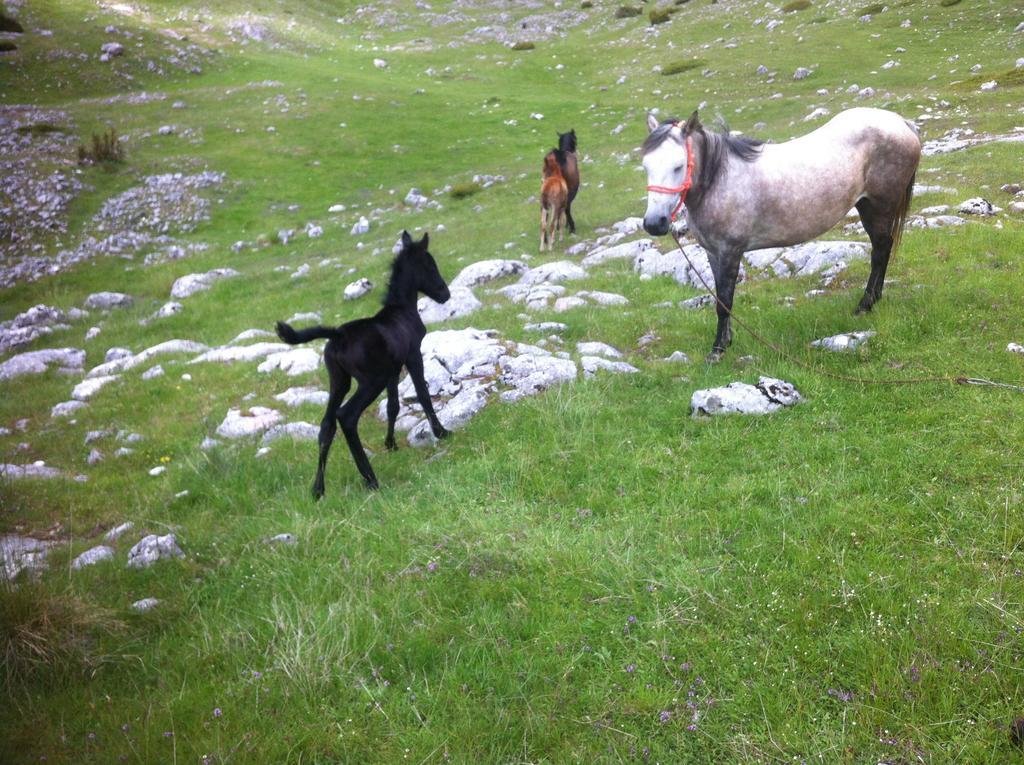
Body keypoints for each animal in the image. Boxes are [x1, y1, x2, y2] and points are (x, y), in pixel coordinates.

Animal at [274, 230, 450, 499]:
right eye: (429, 265)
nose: (445, 294)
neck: (402, 309)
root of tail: (338, 335)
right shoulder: (412, 355)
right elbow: (422, 394)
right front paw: (442, 432)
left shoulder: (393, 369)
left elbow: (393, 405)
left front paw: (390, 444)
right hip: (369, 381)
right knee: (346, 416)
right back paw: (370, 479)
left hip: (339, 380)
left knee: (327, 425)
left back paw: (318, 489)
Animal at [638, 105, 921, 364]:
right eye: (645, 166)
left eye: (678, 166)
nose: (654, 223)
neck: (720, 180)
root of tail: (902, 123)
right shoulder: (713, 253)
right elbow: (721, 298)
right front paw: (726, 341)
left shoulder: (730, 252)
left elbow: (724, 301)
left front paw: (717, 351)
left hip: (879, 208)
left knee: (880, 251)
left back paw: (865, 305)